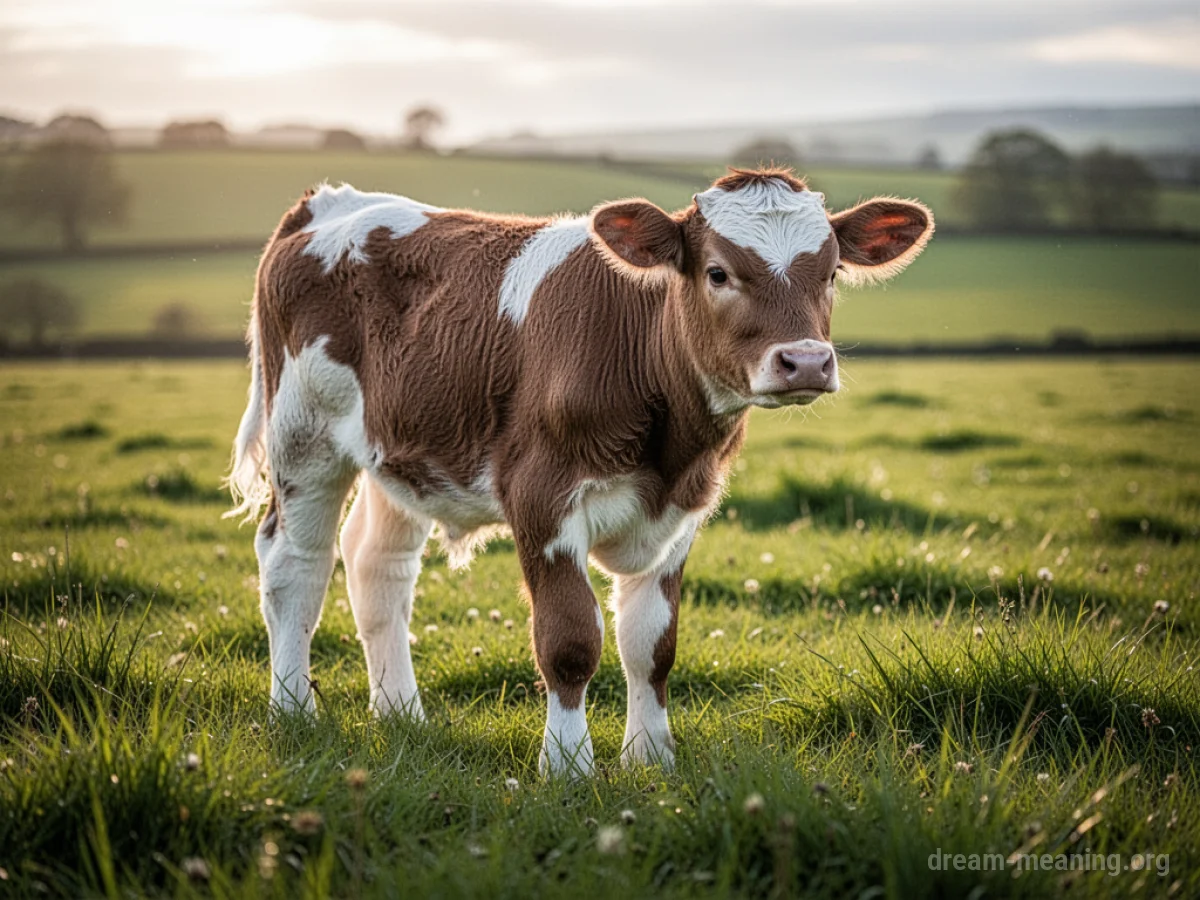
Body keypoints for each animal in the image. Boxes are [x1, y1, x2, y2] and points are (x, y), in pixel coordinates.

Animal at [226, 167, 933, 776]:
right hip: (304, 439)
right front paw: (567, 765)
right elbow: (569, 641)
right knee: (294, 568)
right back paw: (293, 713)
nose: (806, 362)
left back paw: (402, 717)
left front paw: (651, 758)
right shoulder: (541, 497)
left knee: (378, 568)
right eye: (718, 272)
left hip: (401, 452)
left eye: (831, 272)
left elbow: (651, 645)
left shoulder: (682, 516)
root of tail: (329, 201)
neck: (669, 446)